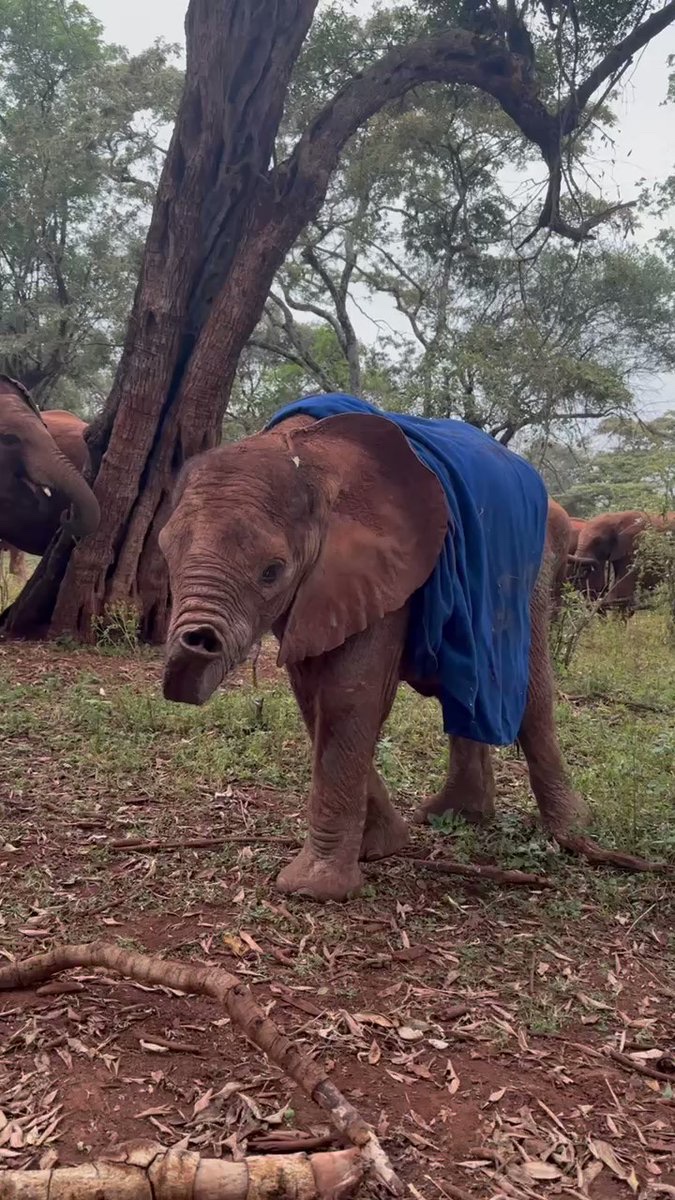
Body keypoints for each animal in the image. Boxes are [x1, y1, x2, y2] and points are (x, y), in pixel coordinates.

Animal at [156, 393, 638, 902]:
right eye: (165, 554)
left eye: (272, 571)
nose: (196, 645)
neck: (306, 454)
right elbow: (313, 694)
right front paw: (382, 848)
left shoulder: (384, 567)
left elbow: (348, 693)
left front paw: (312, 890)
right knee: (469, 693)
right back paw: (457, 816)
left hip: (534, 572)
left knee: (531, 693)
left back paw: (571, 830)